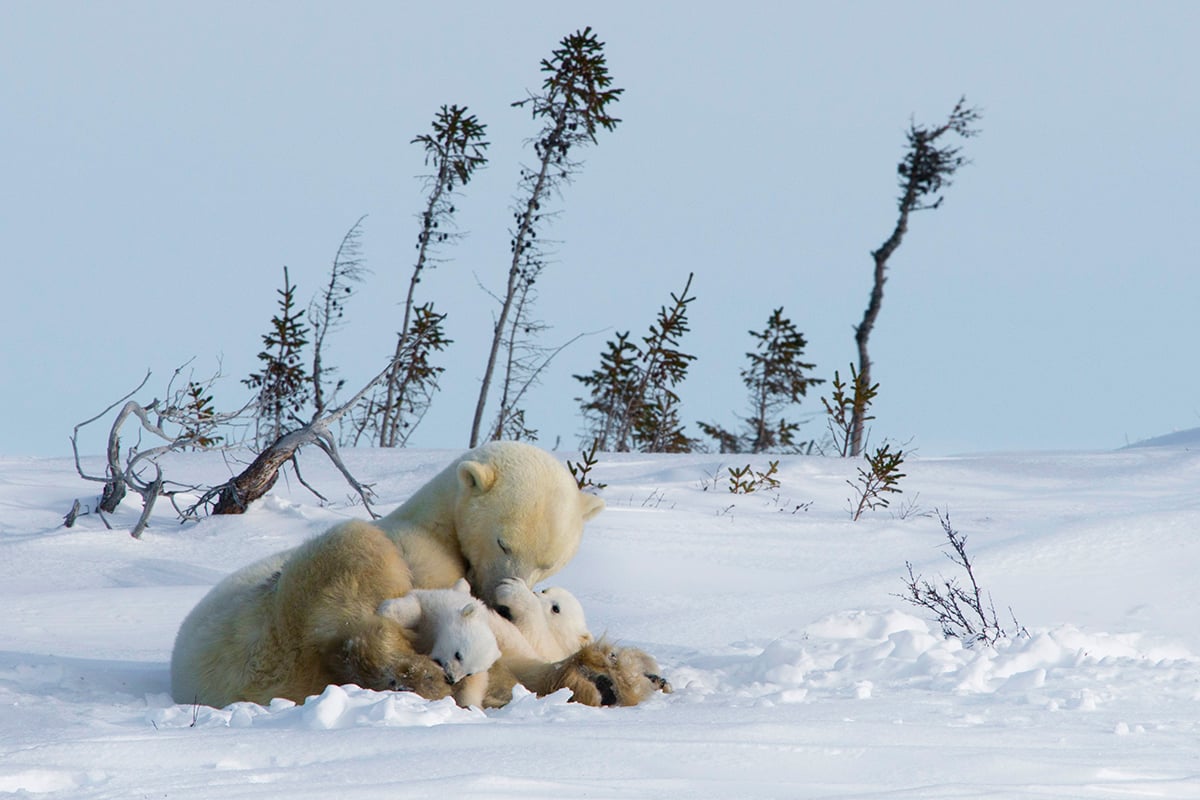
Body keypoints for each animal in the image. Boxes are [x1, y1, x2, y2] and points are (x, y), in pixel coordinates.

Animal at [172, 441, 672, 710]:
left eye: (548, 561)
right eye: (503, 543)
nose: (500, 596)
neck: (438, 524)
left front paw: (614, 671)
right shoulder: (421, 551)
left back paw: (606, 677)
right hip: (272, 624)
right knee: (353, 603)